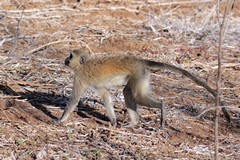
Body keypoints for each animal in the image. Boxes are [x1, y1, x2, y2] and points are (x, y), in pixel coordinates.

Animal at [53, 48, 231, 127]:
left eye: (70, 56)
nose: (65, 60)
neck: (84, 64)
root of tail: (138, 61)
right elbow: (106, 97)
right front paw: (113, 120)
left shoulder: (80, 77)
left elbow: (73, 101)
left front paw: (60, 120)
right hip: (142, 76)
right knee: (128, 93)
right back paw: (134, 123)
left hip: (137, 75)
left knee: (134, 95)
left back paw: (161, 108)